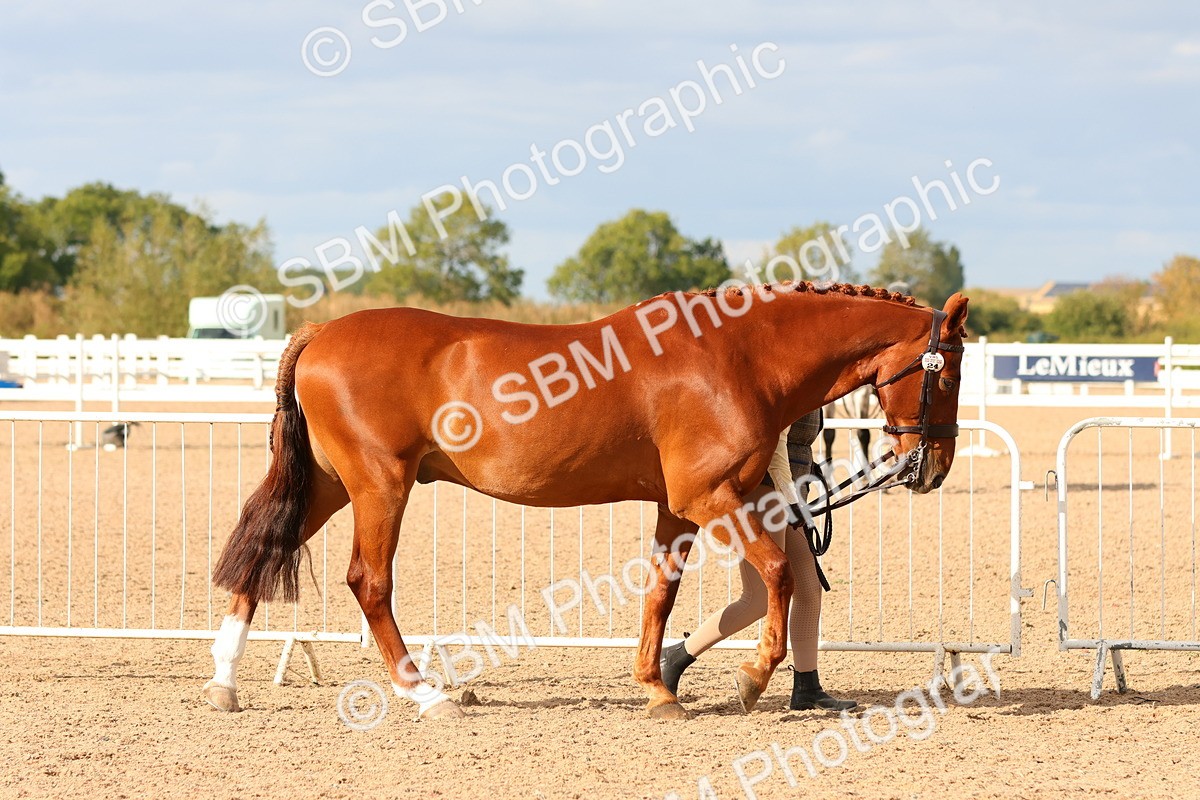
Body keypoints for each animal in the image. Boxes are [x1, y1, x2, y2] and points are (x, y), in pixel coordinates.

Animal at [204, 281, 968, 721]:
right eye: (949, 371)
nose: (931, 468)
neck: (737, 356)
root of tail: (320, 333)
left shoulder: (678, 508)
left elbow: (661, 592)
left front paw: (658, 687)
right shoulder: (711, 498)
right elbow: (779, 574)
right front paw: (751, 679)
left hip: (329, 485)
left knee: (259, 554)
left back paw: (225, 682)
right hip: (378, 487)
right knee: (369, 582)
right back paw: (424, 692)